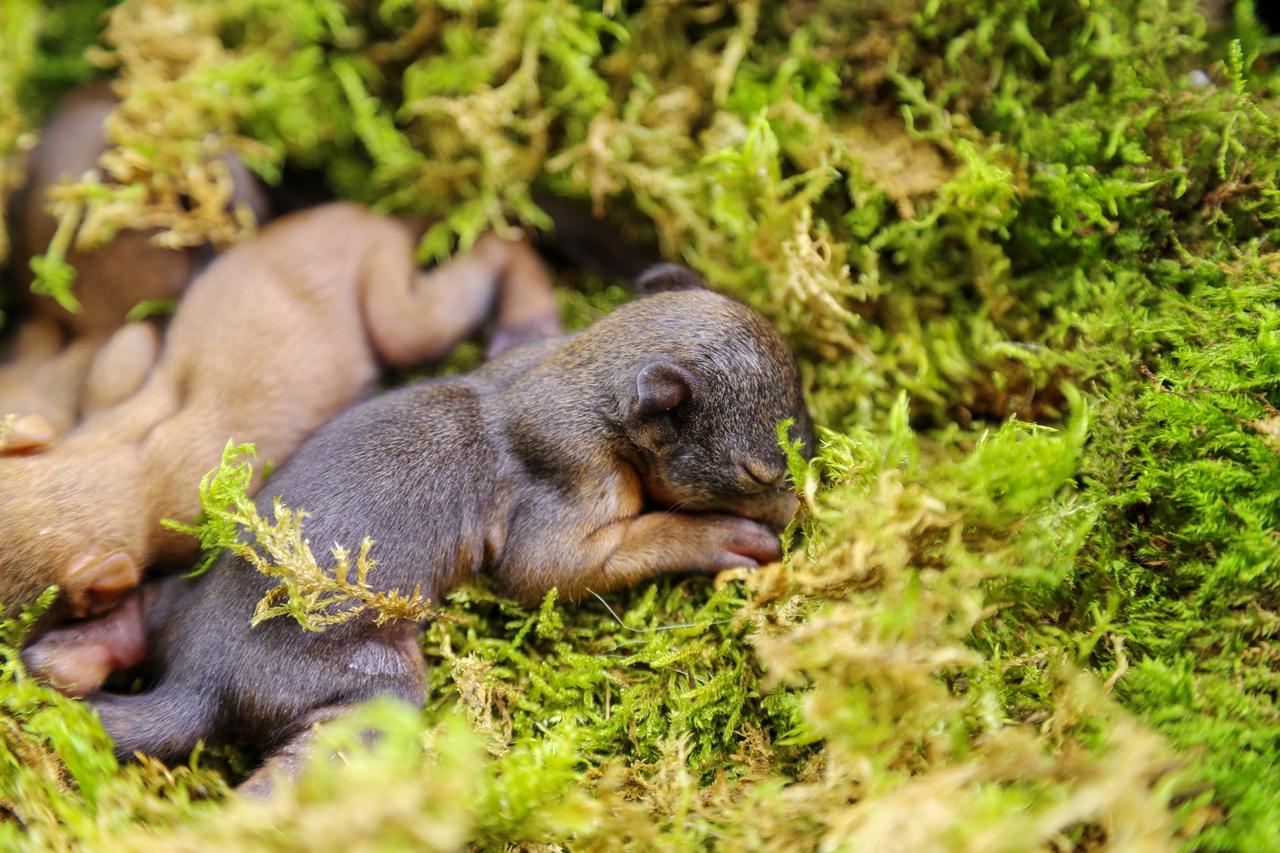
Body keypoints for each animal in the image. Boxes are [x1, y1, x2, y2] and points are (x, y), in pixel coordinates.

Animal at [0, 201, 558, 624]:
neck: (119, 455)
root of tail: (373, 217)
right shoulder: (112, 381)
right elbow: (131, 342)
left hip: (388, 293)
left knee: (454, 284)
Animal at [23, 265, 812, 796]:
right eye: (758, 471)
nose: (809, 498)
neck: (576, 374)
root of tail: (198, 679)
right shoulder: (569, 486)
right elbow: (553, 569)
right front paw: (729, 536)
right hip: (372, 683)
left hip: (174, 598)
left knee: (135, 616)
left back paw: (71, 653)